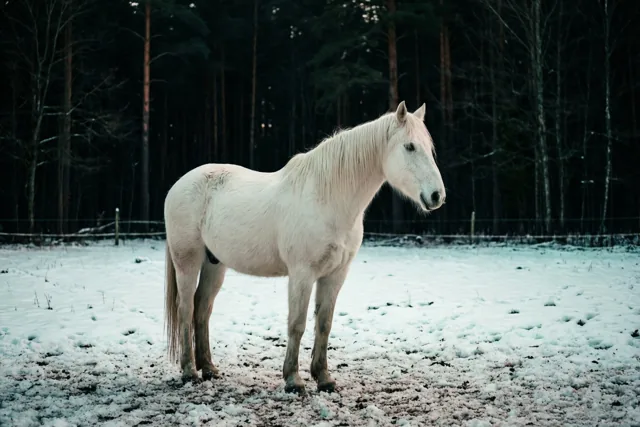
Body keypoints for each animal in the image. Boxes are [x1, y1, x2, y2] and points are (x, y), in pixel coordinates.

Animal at [163, 101, 446, 394]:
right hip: (187, 261)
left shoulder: (335, 275)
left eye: (429, 147)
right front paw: (293, 380)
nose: (437, 196)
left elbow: (324, 324)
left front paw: (324, 378)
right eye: (409, 146)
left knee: (202, 309)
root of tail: (180, 184)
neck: (327, 198)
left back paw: (209, 369)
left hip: (214, 264)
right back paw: (189, 372)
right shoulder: (302, 274)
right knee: (185, 308)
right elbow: (297, 324)